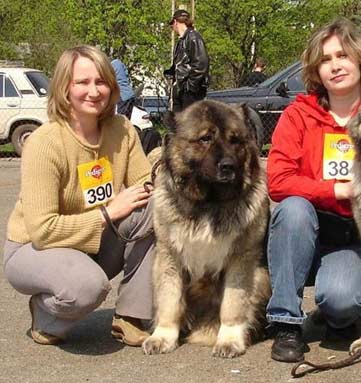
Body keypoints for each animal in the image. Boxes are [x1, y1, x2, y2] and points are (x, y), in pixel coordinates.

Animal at [142, 100, 268, 358]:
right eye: (205, 138)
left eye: (235, 140)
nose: (228, 166)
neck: (209, 203)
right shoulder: (169, 256)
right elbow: (169, 299)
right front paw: (163, 336)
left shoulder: (242, 259)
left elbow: (233, 303)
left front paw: (229, 340)